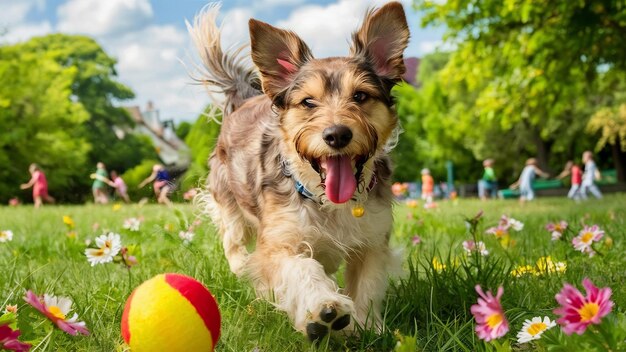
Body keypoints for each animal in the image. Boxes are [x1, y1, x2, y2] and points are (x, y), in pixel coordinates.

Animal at [188, 0, 408, 340]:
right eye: (308, 102)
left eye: (360, 96)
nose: (337, 134)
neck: (329, 203)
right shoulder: (279, 241)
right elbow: (301, 269)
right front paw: (324, 310)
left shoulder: (372, 239)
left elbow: (368, 285)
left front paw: (366, 326)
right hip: (229, 202)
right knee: (234, 241)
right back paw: (246, 269)